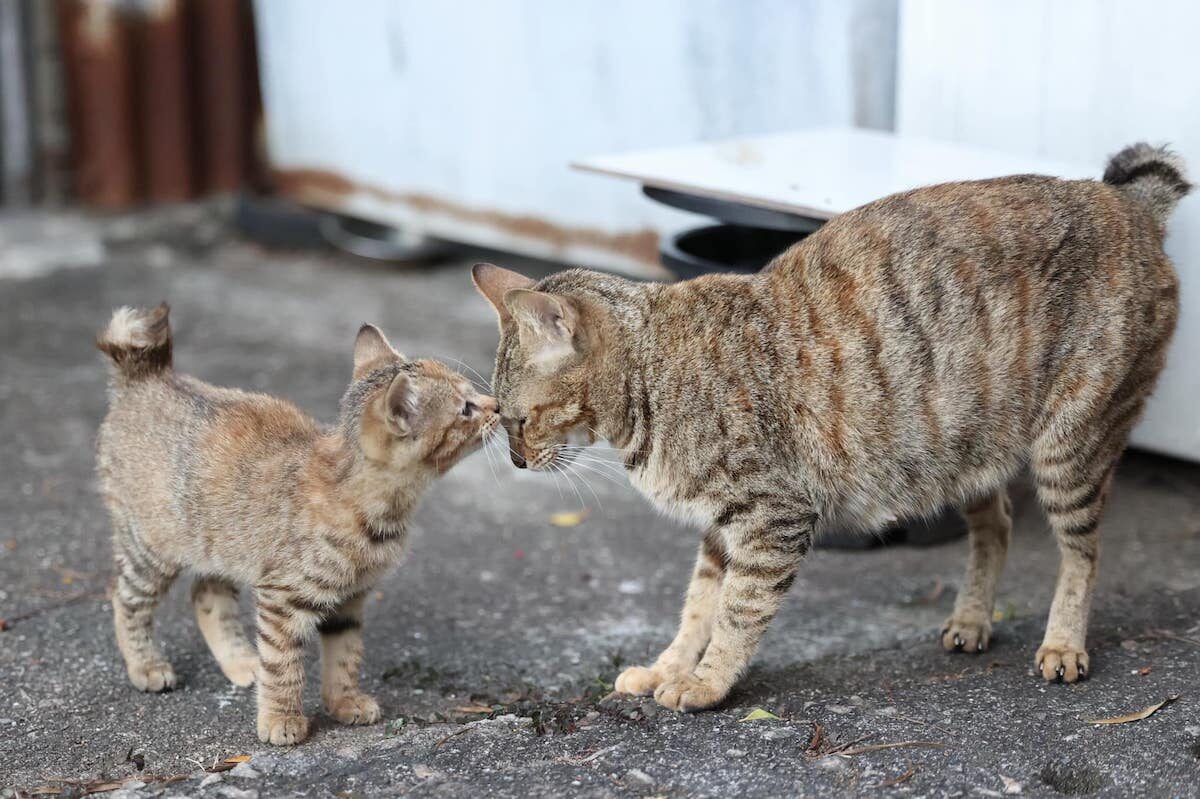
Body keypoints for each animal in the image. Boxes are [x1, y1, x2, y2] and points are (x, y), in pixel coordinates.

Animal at [92, 307, 496, 743]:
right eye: (466, 408)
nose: (497, 406)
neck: (381, 509)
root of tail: (147, 377)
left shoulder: (350, 599)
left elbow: (344, 656)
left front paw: (343, 701)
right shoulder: (282, 599)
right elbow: (283, 664)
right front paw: (281, 718)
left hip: (224, 544)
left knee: (205, 594)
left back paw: (241, 661)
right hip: (151, 548)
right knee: (126, 599)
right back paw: (146, 666)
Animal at [470, 143, 1190, 710]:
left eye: (520, 418)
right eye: (498, 417)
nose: (518, 462)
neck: (653, 377)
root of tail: (1125, 200)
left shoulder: (771, 517)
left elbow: (736, 611)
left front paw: (704, 682)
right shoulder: (721, 527)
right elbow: (697, 605)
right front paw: (668, 666)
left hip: (1070, 446)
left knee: (1082, 552)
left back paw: (1063, 640)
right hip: (962, 444)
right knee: (998, 527)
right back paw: (972, 617)